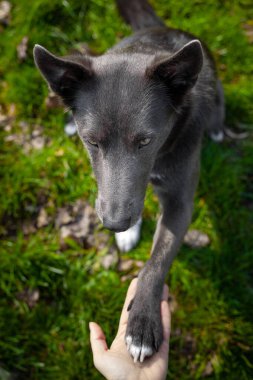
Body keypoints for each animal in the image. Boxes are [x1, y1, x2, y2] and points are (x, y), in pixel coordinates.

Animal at [33, 0, 223, 364]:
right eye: (91, 141)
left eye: (145, 141)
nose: (114, 224)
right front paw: (129, 232)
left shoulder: (180, 203)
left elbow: (156, 262)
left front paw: (142, 325)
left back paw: (220, 128)